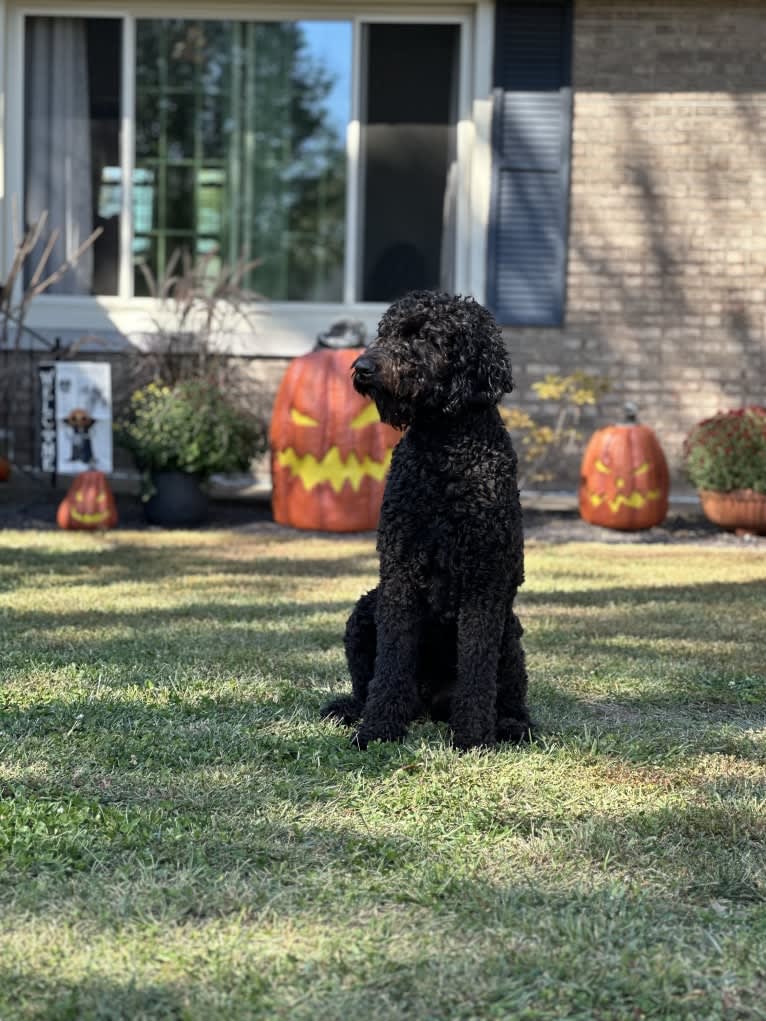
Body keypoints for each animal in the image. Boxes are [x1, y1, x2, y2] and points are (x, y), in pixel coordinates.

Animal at [320, 289, 531, 751]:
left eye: (426, 337)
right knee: (367, 682)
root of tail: (431, 702)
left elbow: (476, 666)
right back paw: (352, 710)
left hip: (509, 631)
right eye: (385, 332)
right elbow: (392, 661)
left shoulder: (484, 581)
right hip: (365, 610)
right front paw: (378, 729)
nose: (362, 367)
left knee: (509, 690)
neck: (445, 450)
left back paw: (512, 724)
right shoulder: (400, 572)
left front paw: (473, 737)